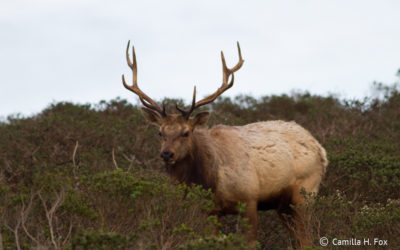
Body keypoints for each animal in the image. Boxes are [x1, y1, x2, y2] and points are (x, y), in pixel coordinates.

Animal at [122, 41, 328, 248]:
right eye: (160, 132)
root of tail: (321, 149)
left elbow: (251, 242)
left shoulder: (249, 199)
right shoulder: (210, 211)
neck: (210, 182)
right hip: (284, 205)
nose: (167, 154)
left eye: (186, 132)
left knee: (308, 238)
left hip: (306, 193)